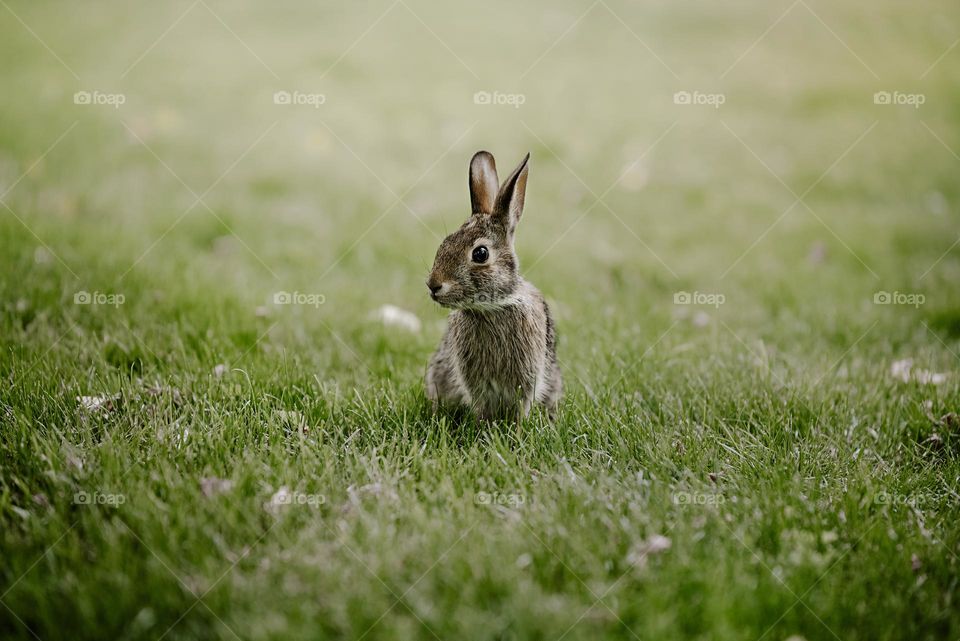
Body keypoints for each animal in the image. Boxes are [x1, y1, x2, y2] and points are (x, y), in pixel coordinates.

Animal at [425, 151, 562, 421]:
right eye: (444, 243)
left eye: (480, 254)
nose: (433, 285)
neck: (492, 308)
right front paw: (482, 427)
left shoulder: (527, 380)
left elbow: (521, 407)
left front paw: (518, 429)